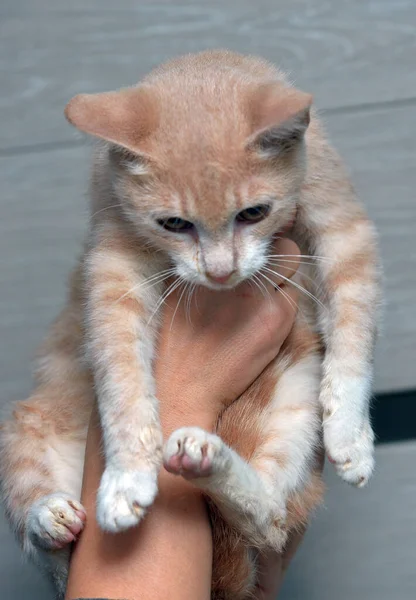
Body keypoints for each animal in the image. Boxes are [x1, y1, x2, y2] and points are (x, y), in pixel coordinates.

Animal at [0, 51, 380, 600]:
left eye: (254, 213)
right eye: (174, 224)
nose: (220, 272)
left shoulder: (341, 222)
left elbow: (355, 323)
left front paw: (351, 433)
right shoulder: (112, 259)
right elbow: (119, 370)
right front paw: (127, 475)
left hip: (295, 413)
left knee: (267, 517)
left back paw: (209, 461)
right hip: (24, 430)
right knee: (55, 557)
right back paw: (49, 518)